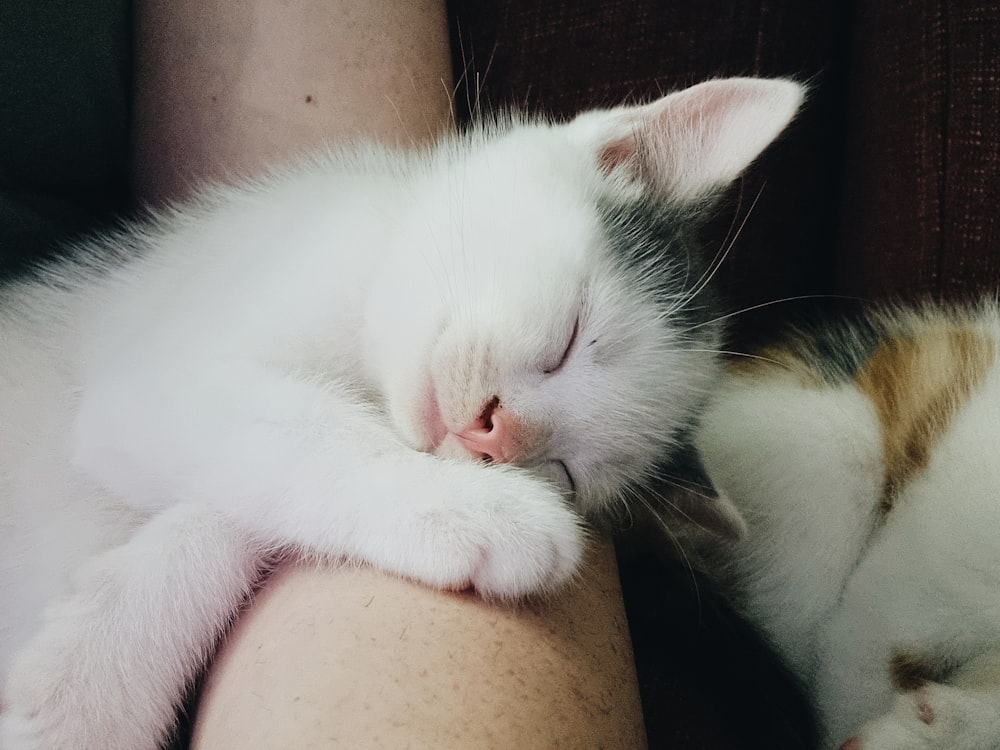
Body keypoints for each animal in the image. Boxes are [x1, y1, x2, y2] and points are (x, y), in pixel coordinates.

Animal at [0, 78, 800, 750]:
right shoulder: (158, 380)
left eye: (567, 470)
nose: (493, 433)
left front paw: (82, 679)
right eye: (572, 337)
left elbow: (232, 508)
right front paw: (482, 512)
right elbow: (304, 432)